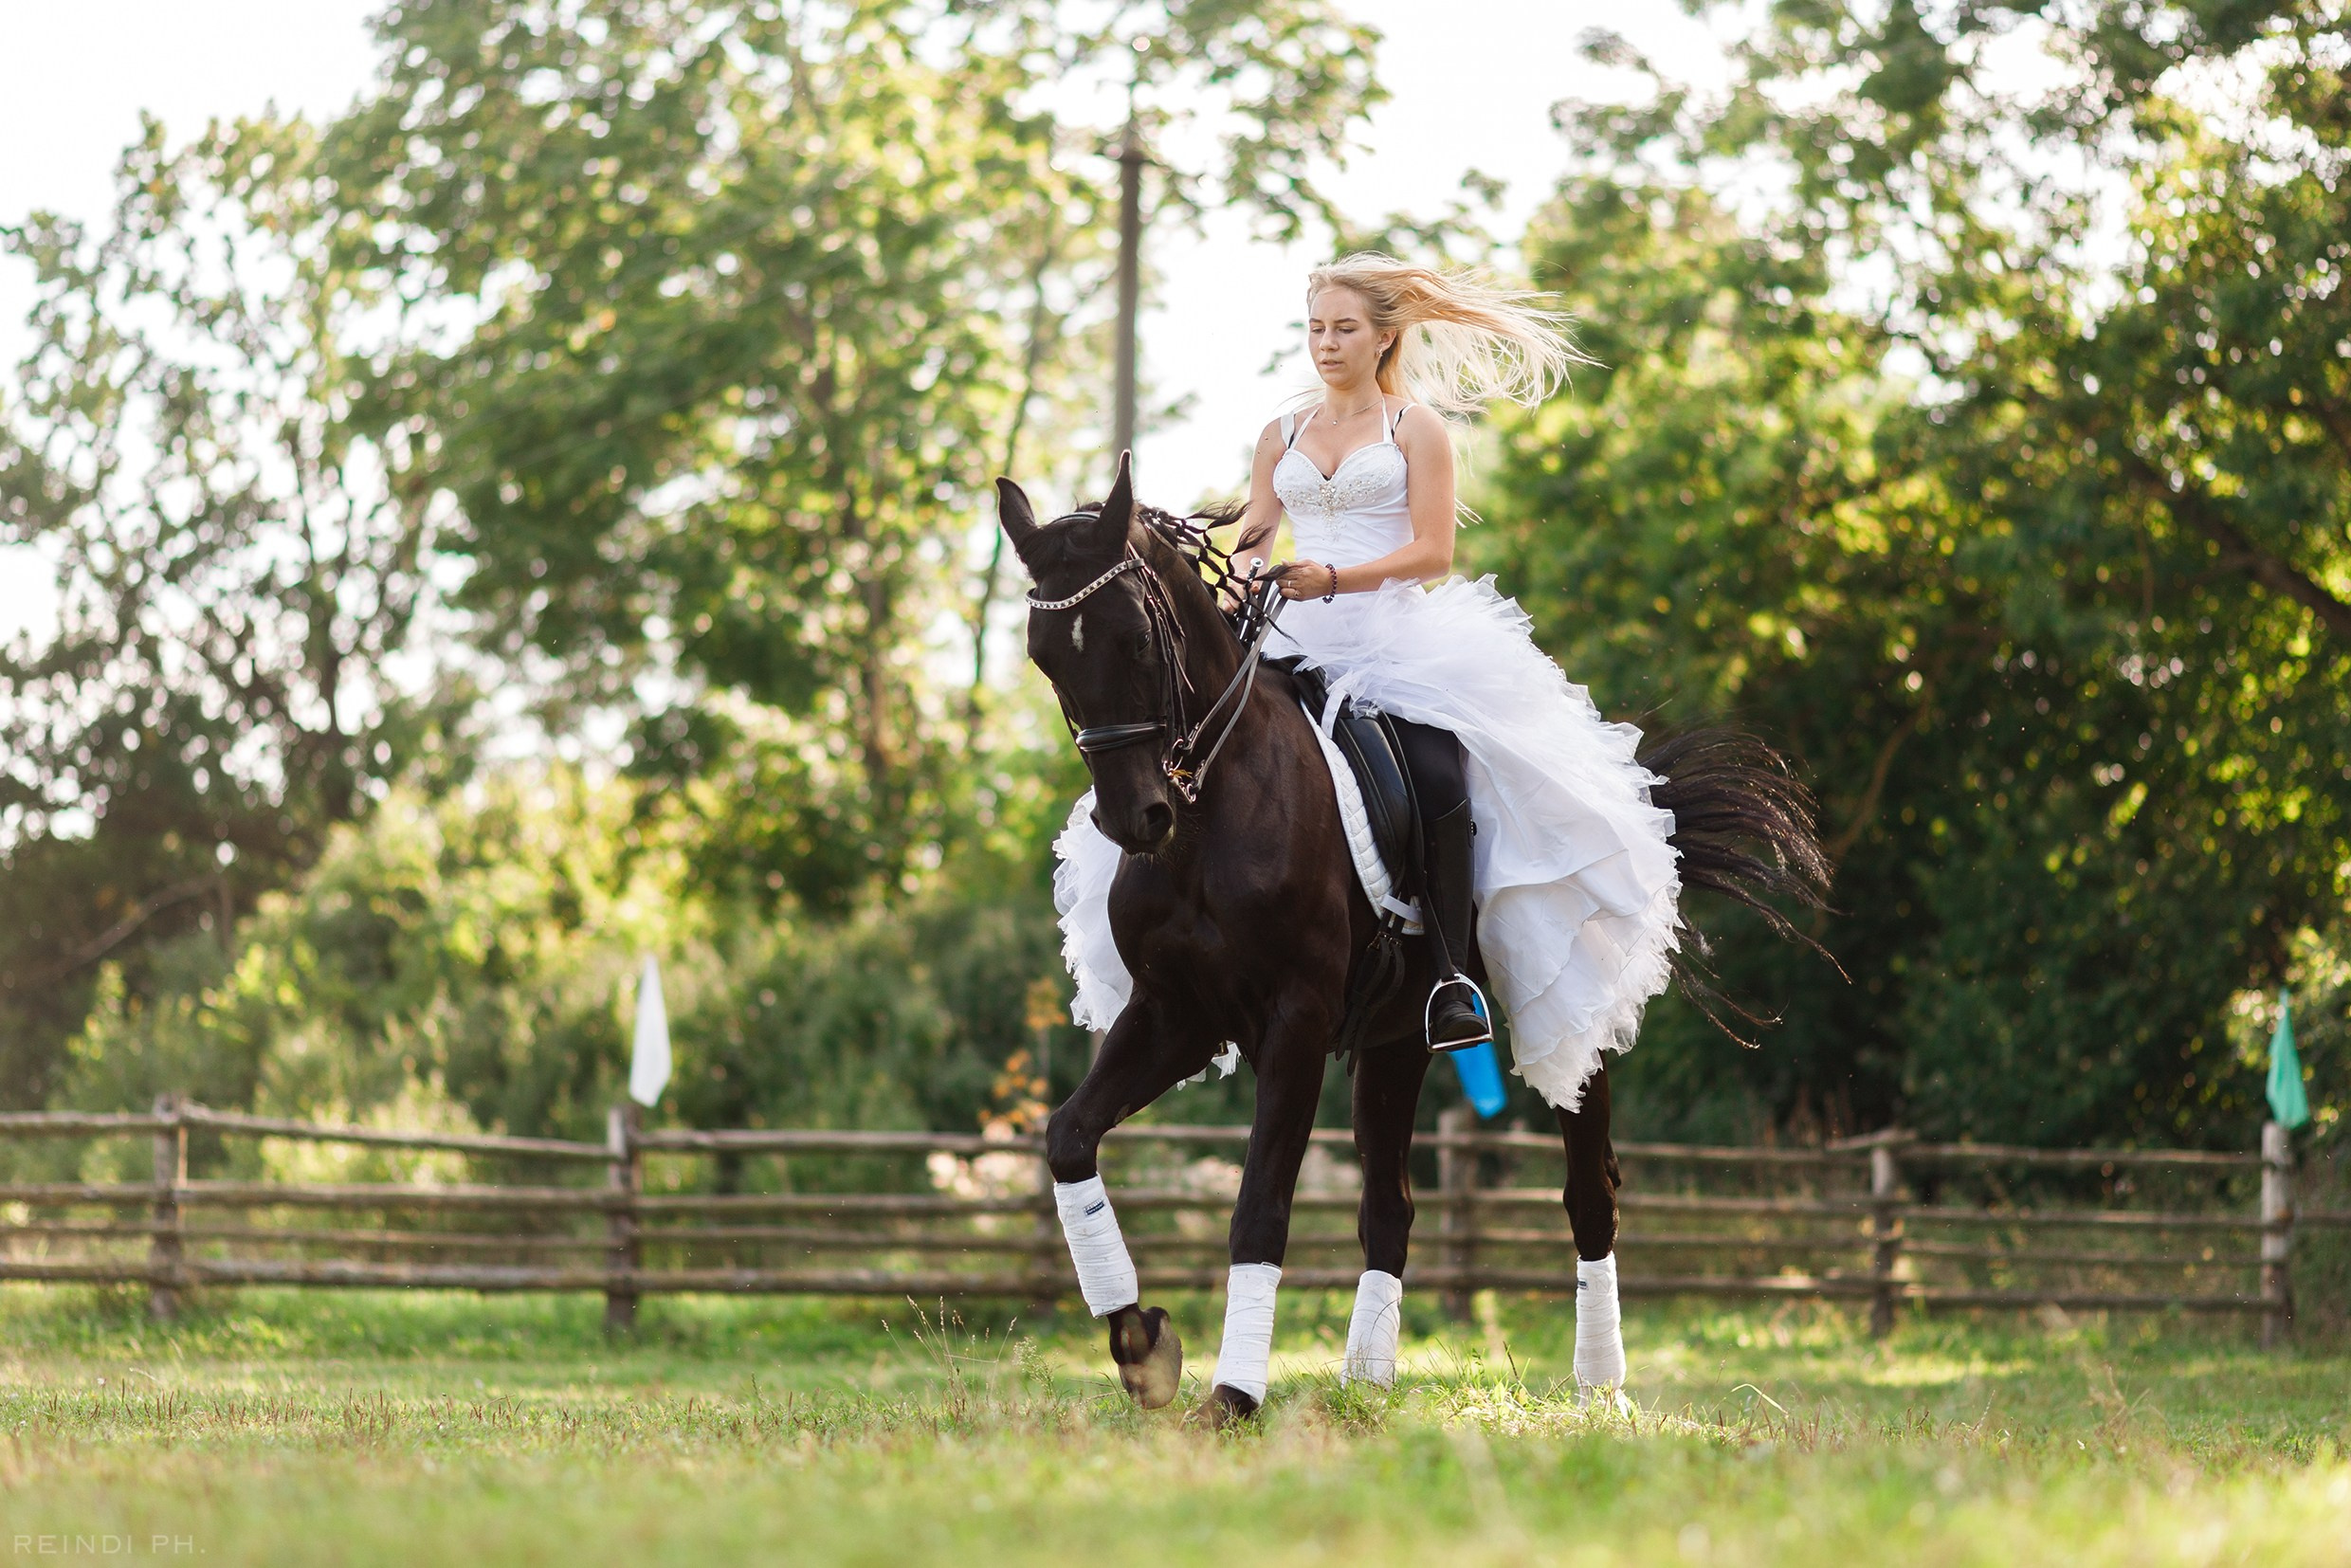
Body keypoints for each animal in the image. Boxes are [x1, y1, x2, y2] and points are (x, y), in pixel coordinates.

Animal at [997, 455, 1830, 1424]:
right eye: (1044, 656)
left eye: (1134, 639)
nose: (1136, 820)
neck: (1214, 809)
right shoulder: (1177, 1015)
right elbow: (1068, 1137)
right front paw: (1141, 1343)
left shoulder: (1294, 1022)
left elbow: (1259, 1207)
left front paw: (1233, 1396)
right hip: (1396, 1038)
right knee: (1390, 1206)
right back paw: (1367, 1383)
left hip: (1561, 1008)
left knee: (1591, 1193)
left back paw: (1598, 1387)